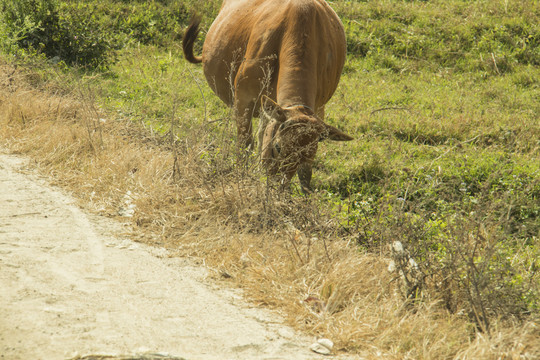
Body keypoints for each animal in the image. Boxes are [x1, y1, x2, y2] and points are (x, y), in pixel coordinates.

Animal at [184, 0, 352, 193]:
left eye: (308, 155)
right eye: (278, 147)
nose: (277, 187)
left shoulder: (318, 107)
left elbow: (305, 174)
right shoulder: (243, 99)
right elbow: (245, 145)